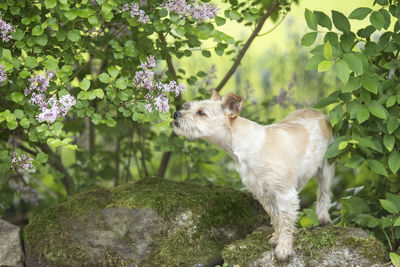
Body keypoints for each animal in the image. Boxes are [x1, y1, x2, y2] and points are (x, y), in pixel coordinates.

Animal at [172, 91, 334, 260]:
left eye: (201, 113)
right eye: (187, 107)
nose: (175, 114)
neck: (250, 146)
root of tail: (318, 112)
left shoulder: (285, 194)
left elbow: (286, 222)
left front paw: (284, 248)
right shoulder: (263, 195)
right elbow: (276, 219)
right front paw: (276, 238)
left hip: (326, 168)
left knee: (324, 194)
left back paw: (324, 218)